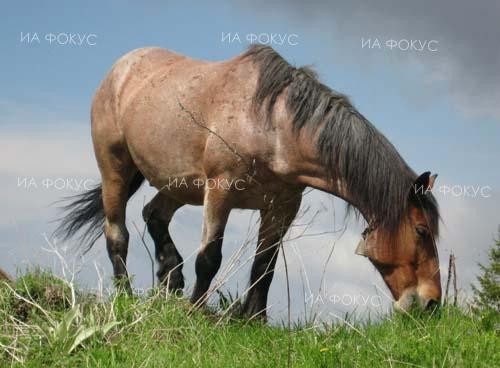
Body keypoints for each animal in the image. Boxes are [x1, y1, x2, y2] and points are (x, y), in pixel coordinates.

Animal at [55, 44, 442, 318]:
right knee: (117, 235)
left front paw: (253, 318)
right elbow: (209, 258)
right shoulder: (221, 192)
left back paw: (171, 277)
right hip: (115, 171)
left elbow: (264, 264)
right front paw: (196, 311)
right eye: (422, 231)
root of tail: (121, 68)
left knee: (154, 215)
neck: (273, 126)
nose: (432, 303)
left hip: (178, 186)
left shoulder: (283, 206)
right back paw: (125, 295)